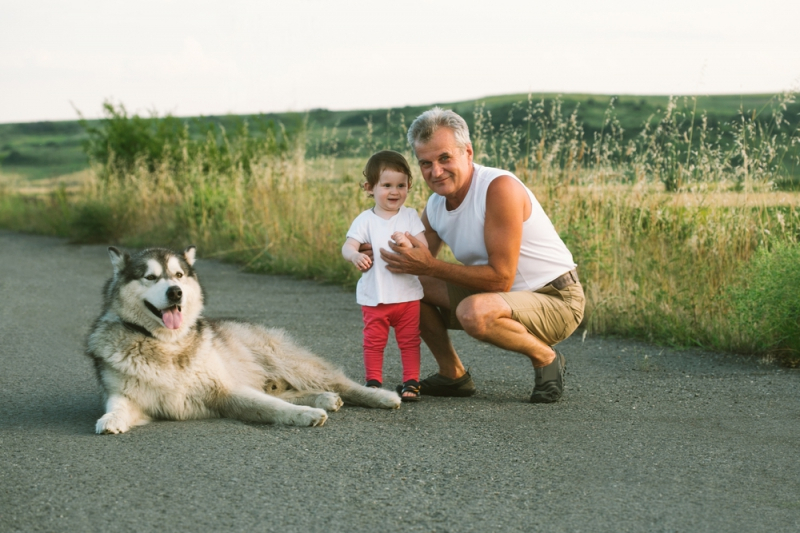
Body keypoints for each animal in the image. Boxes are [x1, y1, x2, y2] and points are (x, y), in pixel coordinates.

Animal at [84, 245, 404, 432]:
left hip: (287, 361)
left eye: (178, 275)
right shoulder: (127, 394)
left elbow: (272, 407)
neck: (168, 345)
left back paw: (380, 396)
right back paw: (324, 398)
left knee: (340, 382)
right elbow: (117, 404)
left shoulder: (225, 389)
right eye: (150, 277)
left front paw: (302, 413)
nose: (176, 292)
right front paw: (111, 419)